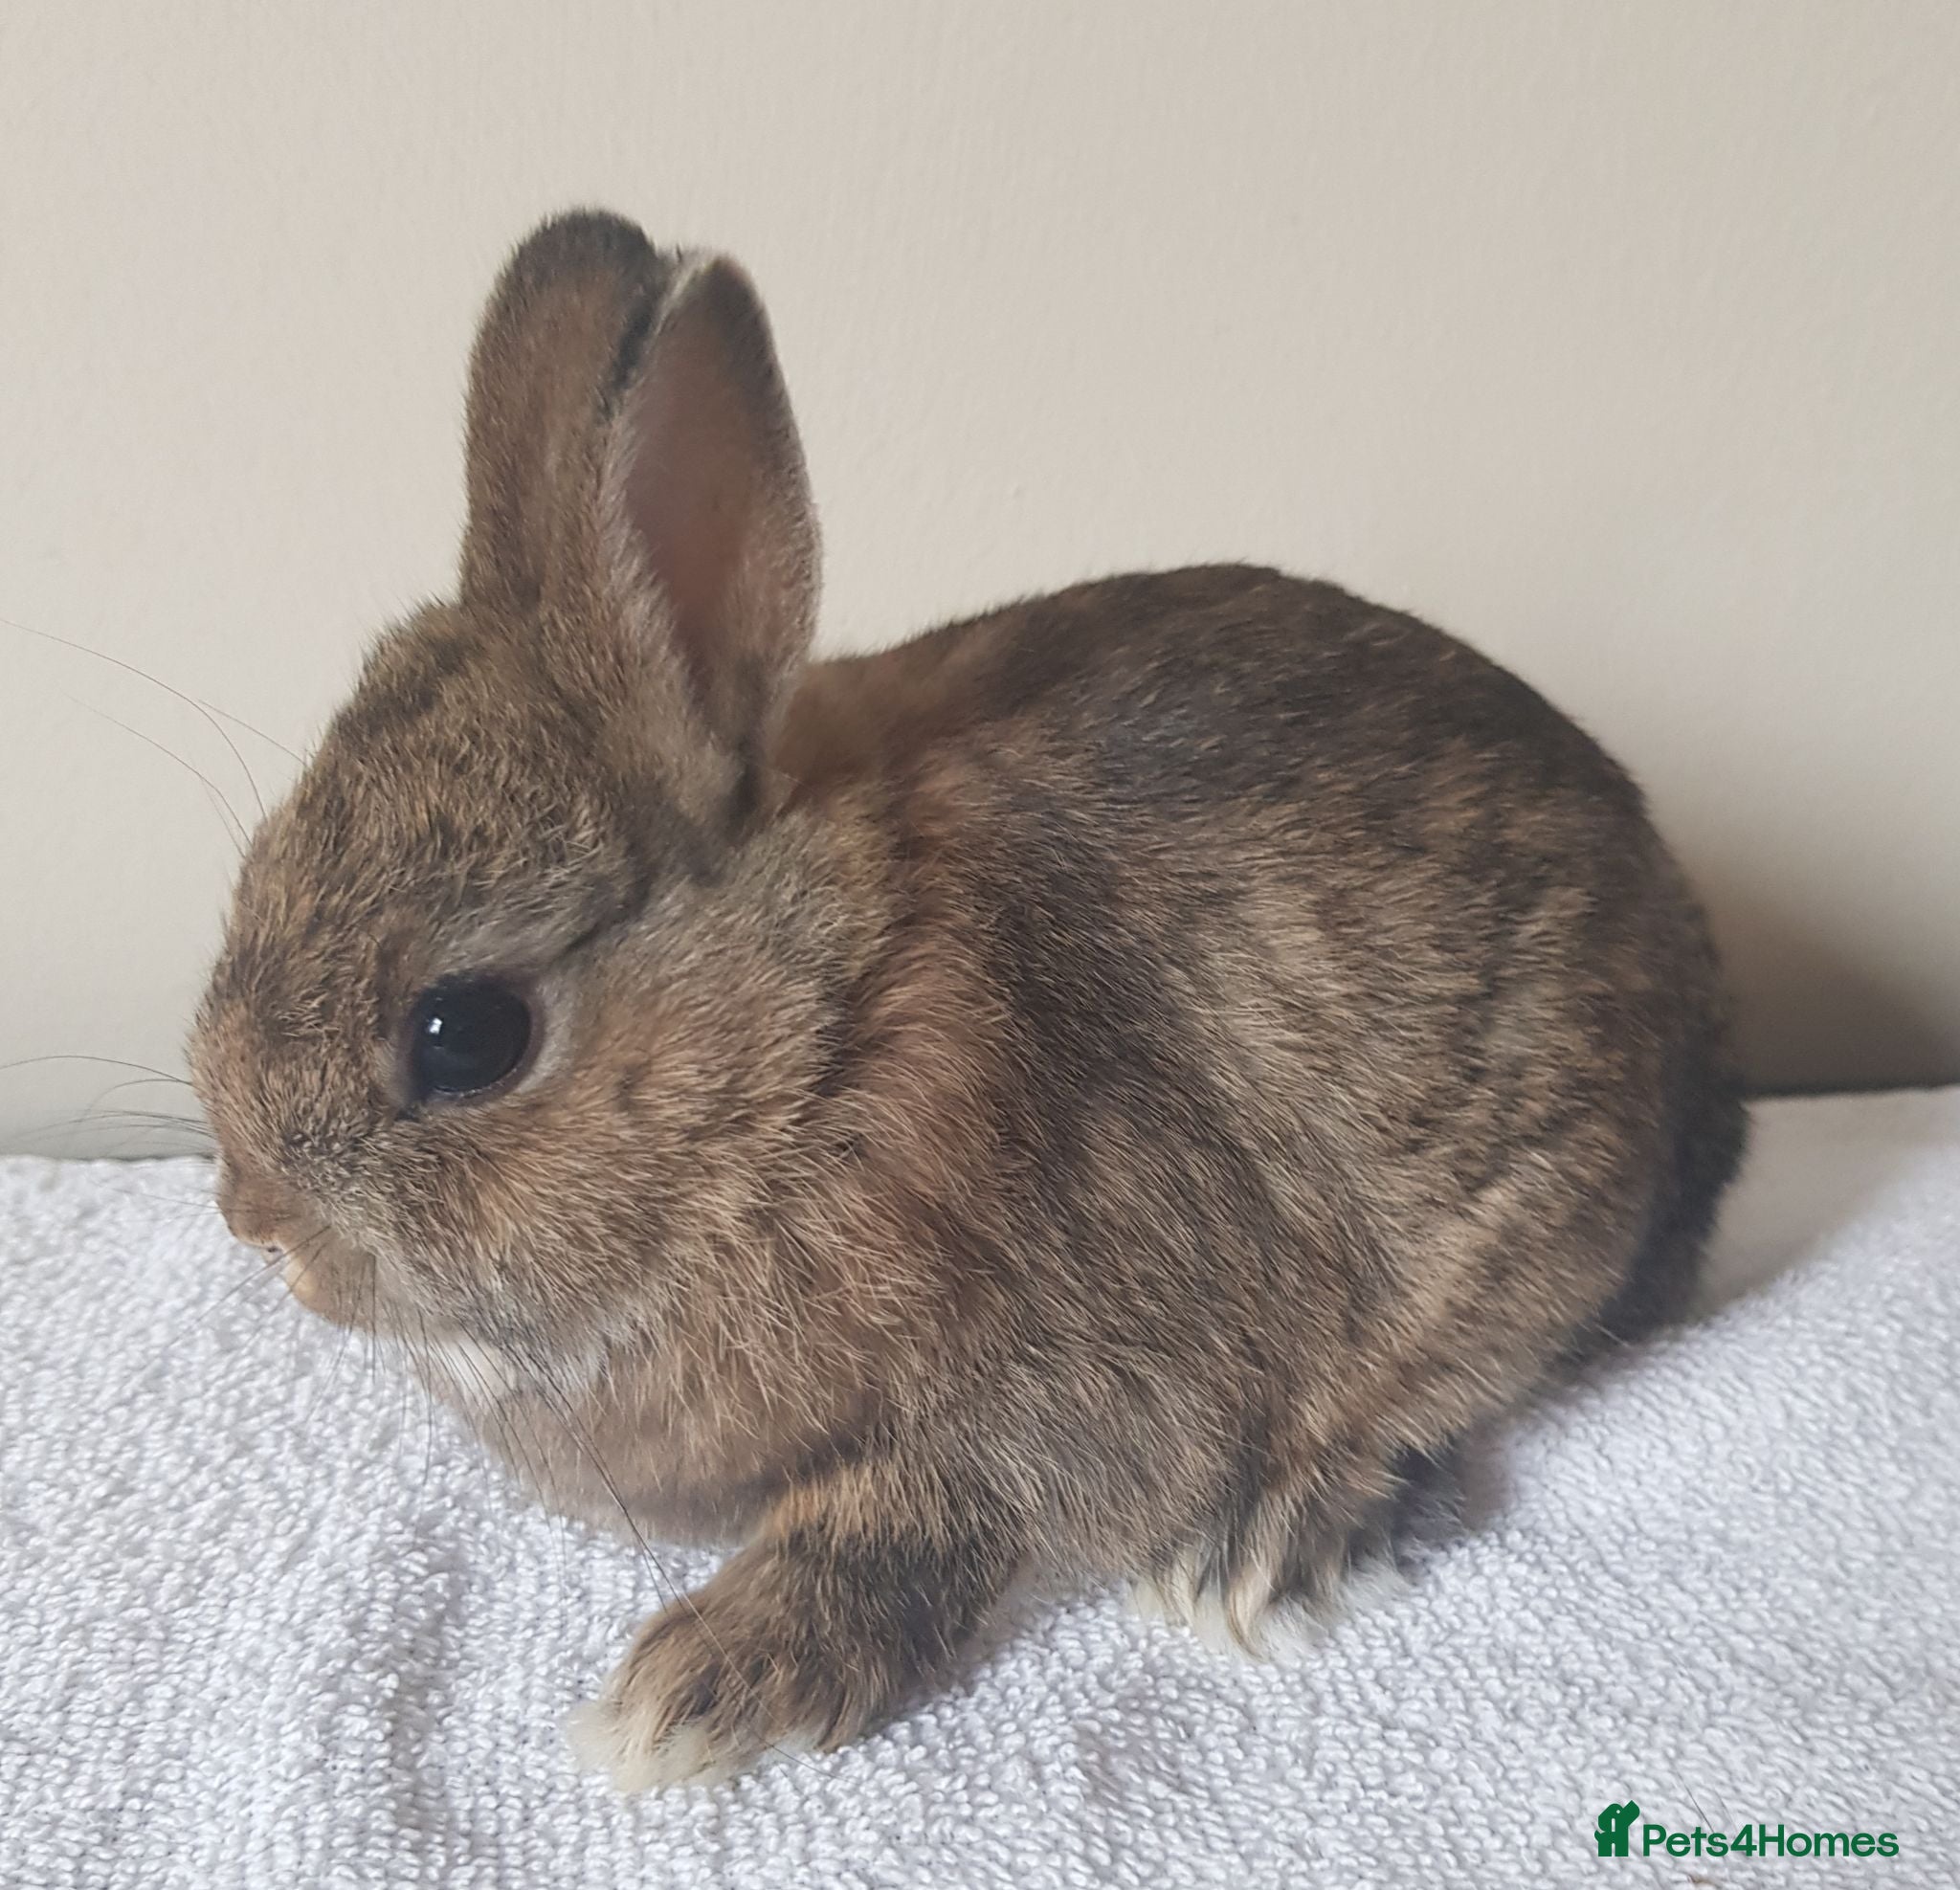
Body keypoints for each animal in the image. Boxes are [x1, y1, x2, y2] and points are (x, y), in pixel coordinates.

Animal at [190, 209, 1746, 1791]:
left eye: (466, 1034)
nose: (260, 1225)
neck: (825, 1037)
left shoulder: (1076, 1369)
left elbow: (924, 1505)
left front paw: (702, 1683)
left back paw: (1270, 1545)